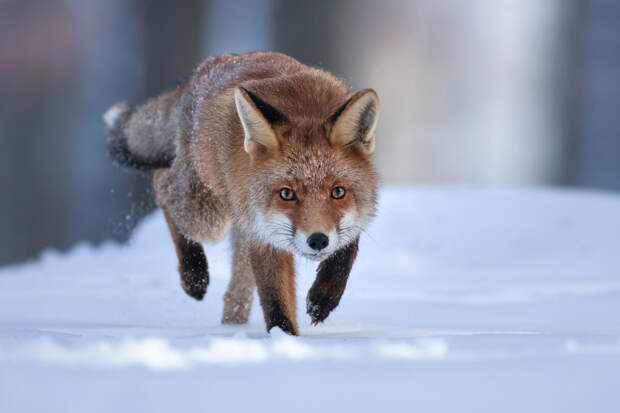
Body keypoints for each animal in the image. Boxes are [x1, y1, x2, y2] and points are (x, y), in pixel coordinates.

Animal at [103, 51, 378, 334]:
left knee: (236, 292)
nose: (318, 240)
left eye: (338, 192)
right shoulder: (262, 232)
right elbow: (275, 300)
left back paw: (231, 324)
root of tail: (206, 67)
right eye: (286, 194)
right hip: (208, 217)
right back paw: (194, 274)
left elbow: (347, 246)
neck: (305, 109)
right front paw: (283, 338)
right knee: (163, 184)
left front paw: (323, 298)